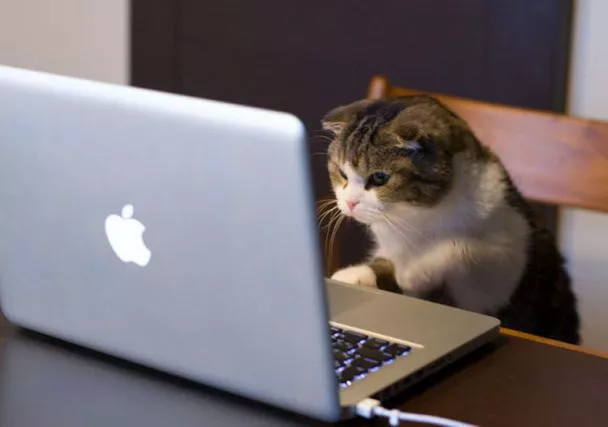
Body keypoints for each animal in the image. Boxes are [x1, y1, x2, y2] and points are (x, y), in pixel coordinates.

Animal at [320, 95, 580, 346]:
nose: (350, 203)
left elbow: (460, 250)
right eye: (342, 174)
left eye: (380, 178)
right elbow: (385, 263)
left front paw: (417, 270)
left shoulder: (507, 259)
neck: (417, 219)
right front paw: (354, 275)